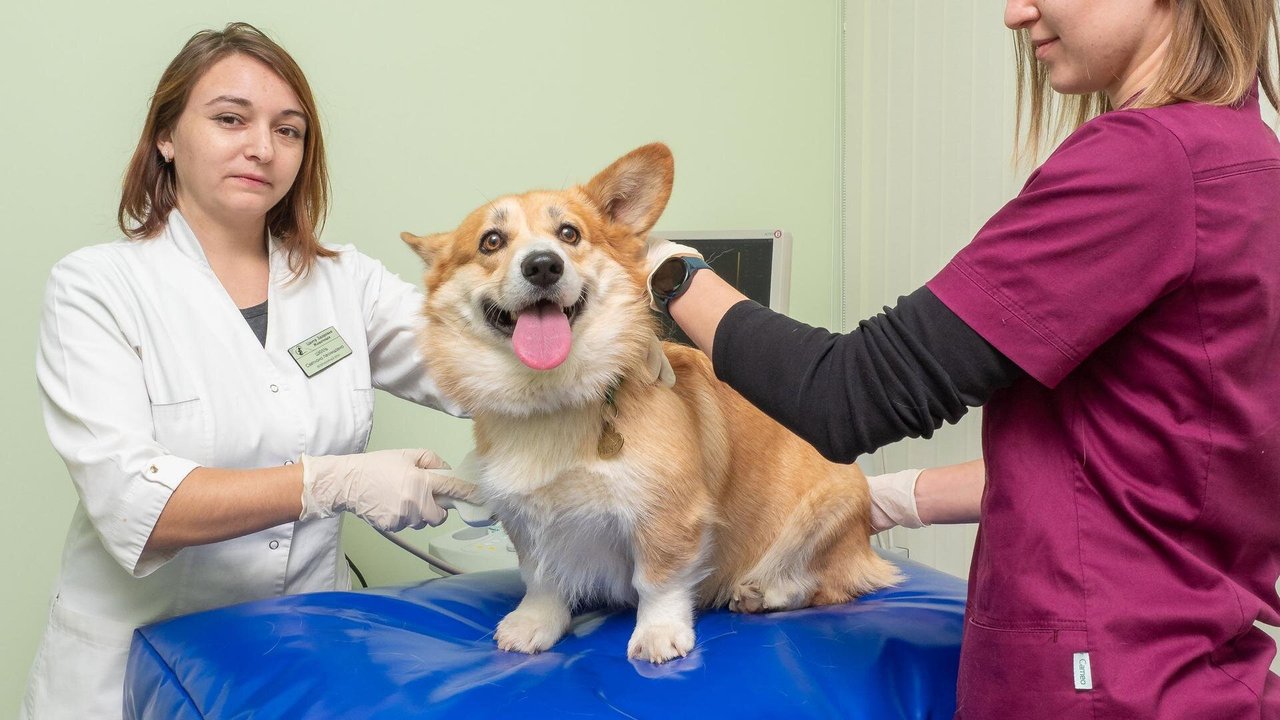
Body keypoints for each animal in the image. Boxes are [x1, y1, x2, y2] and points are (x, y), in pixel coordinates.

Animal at [401, 141, 901, 661]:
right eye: (491, 242)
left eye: (569, 233)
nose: (542, 264)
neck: (555, 397)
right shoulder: (527, 518)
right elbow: (541, 579)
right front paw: (534, 623)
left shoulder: (668, 514)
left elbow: (658, 581)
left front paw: (659, 633)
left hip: (829, 511)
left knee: (829, 583)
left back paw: (763, 592)